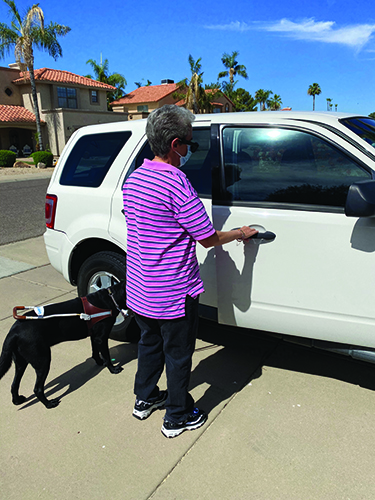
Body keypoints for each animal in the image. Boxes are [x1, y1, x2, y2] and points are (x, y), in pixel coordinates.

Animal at [0, 284, 128, 408]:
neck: (111, 297)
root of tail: (13, 332)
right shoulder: (101, 338)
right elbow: (106, 355)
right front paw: (113, 368)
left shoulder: (94, 336)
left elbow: (95, 352)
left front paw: (100, 362)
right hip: (43, 360)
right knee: (37, 389)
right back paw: (49, 404)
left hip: (21, 362)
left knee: (14, 385)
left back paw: (17, 400)